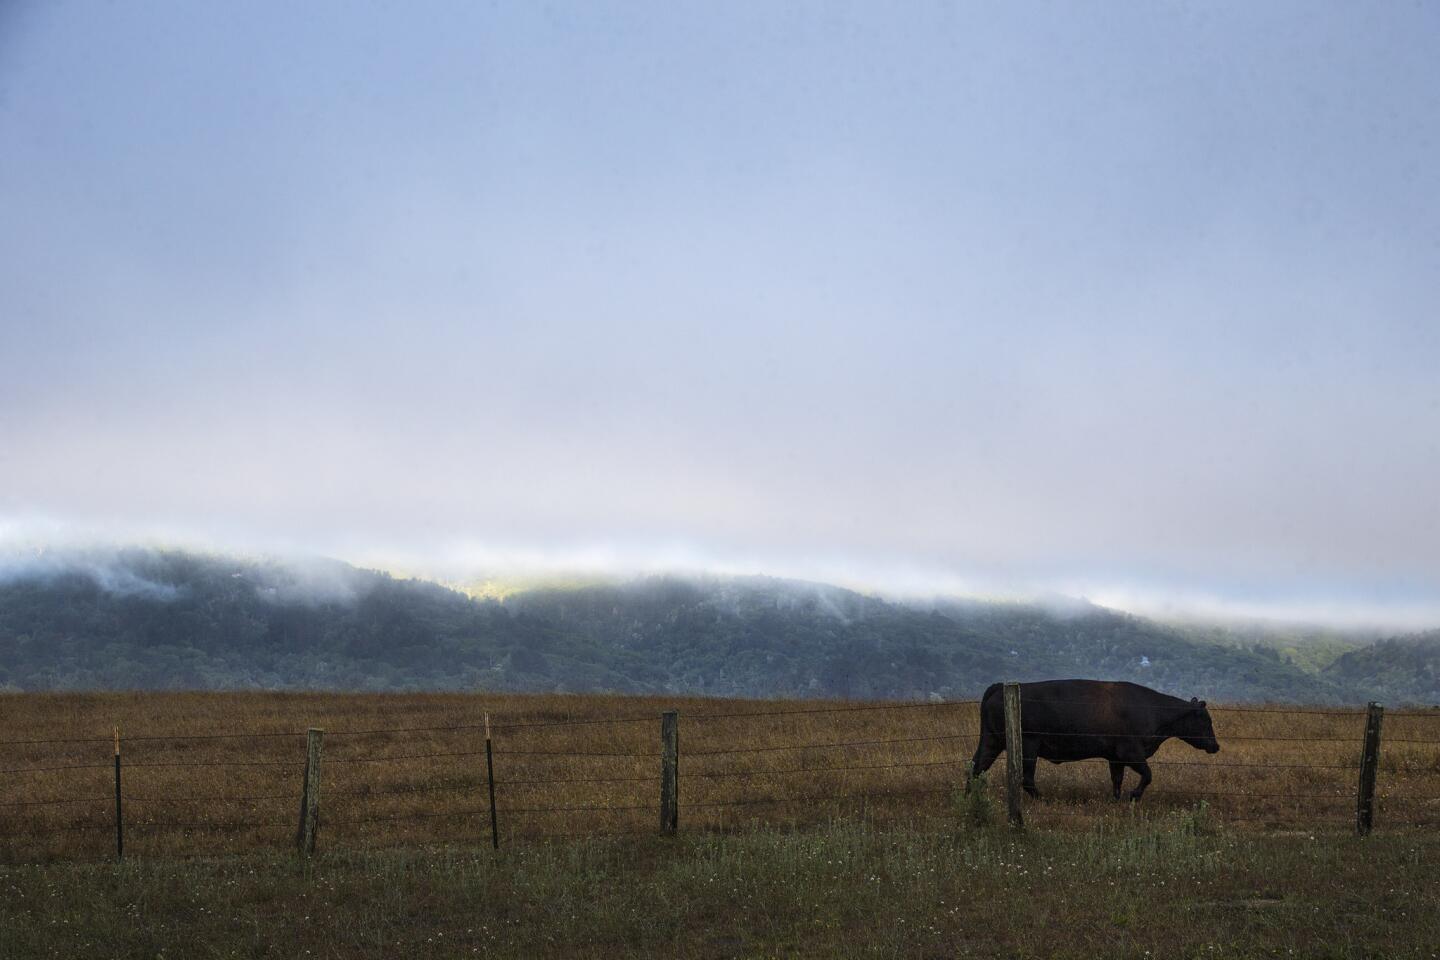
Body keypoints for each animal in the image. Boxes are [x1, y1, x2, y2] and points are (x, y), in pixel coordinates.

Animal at [973, 679, 1221, 800]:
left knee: (975, 768)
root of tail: (998, 688)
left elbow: (1117, 780)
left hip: (992, 742)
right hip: (1028, 747)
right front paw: (1134, 796)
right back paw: (1044, 800)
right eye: (1205, 720)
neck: (1153, 710)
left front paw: (1116, 800)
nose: (1216, 746)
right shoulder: (1131, 753)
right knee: (1026, 779)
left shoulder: (1115, 758)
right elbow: (1148, 775)